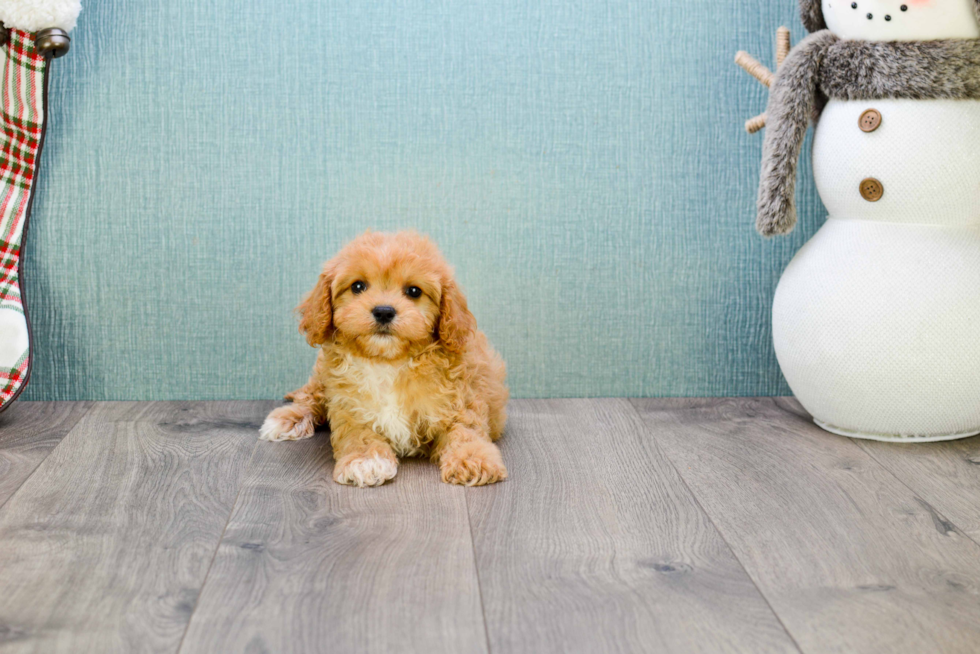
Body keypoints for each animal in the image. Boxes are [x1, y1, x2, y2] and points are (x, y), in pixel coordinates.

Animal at [256, 231, 510, 486]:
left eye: (414, 291)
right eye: (358, 286)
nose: (384, 311)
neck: (387, 361)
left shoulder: (461, 402)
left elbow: (466, 431)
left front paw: (473, 459)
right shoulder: (350, 408)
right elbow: (360, 435)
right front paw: (366, 461)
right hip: (321, 377)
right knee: (311, 395)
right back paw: (287, 419)